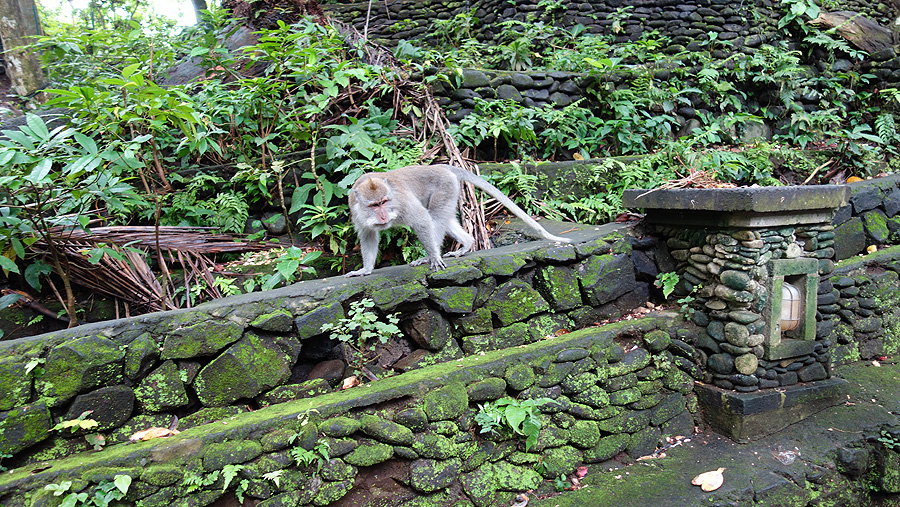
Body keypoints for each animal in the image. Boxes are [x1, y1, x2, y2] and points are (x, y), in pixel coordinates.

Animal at [344, 165, 568, 278]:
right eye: (374, 205)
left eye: (384, 201)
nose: (383, 216)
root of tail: (438, 165)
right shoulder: (355, 211)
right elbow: (368, 236)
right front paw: (365, 270)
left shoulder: (402, 203)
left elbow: (422, 220)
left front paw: (433, 257)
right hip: (450, 189)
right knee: (445, 218)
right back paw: (467, 243)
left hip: (445, 186)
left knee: (435, 216)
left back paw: (430, 257)